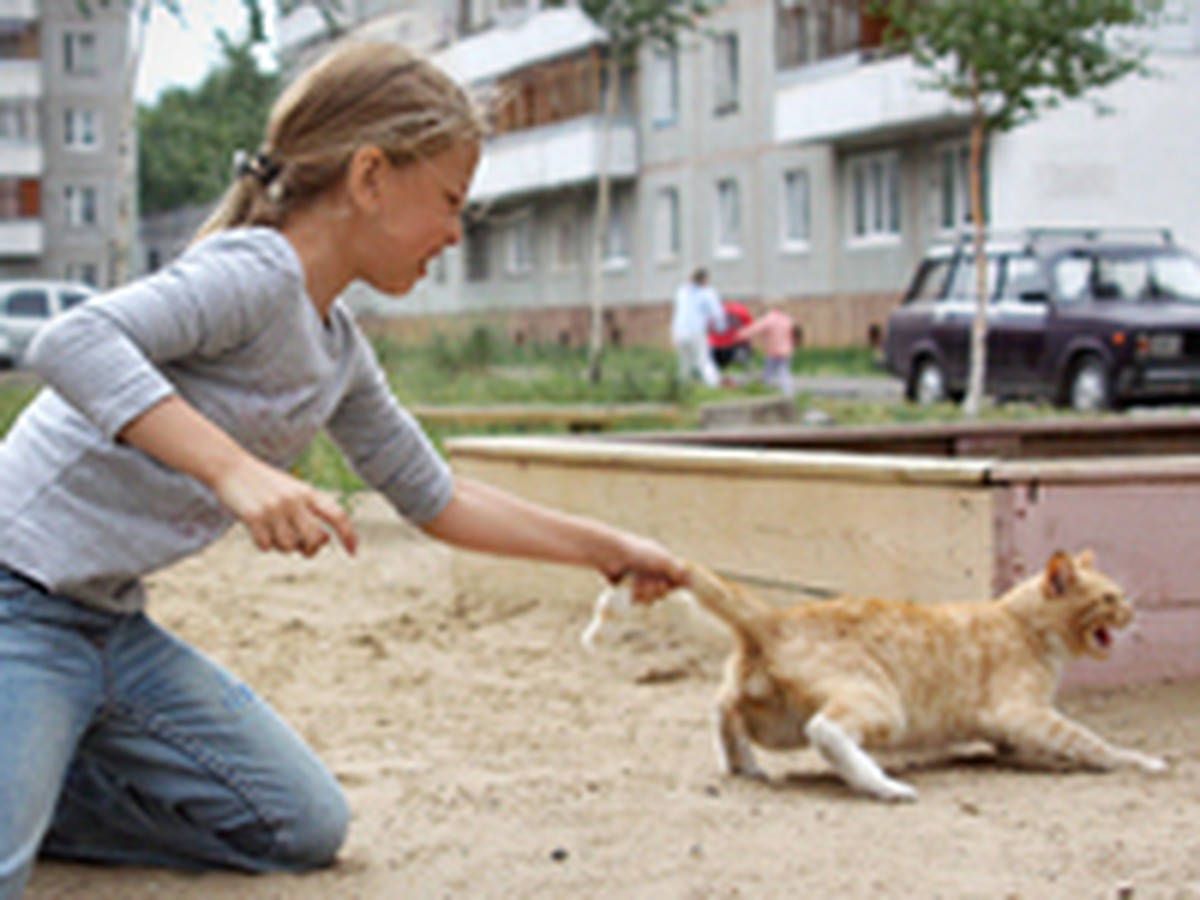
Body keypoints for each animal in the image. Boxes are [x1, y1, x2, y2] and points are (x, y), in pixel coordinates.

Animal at [595, 549, 1166, 801]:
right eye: (1109, 599)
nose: (1133, 610)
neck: (1022, 623)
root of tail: (774, 619)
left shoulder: (1016, 726)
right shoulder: (1025, 713)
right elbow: (1089, 741)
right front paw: (1139, 760)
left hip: (772, 719)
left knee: (722, 709)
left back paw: (746, 767)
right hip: (880, 707)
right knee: (826, 731)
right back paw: (882, 785)